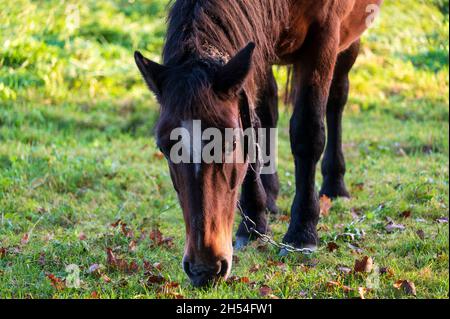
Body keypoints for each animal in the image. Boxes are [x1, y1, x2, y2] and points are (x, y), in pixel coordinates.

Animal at [135, 0, 382, 288]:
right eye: (164, 147)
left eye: (230, 142)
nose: (203, 269)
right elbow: (253, 126)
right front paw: (253, 224)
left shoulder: (325, 37)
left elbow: (308, 132)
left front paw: (302, 232)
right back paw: (270, 196)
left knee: (337, 96)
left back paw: (335, 183)